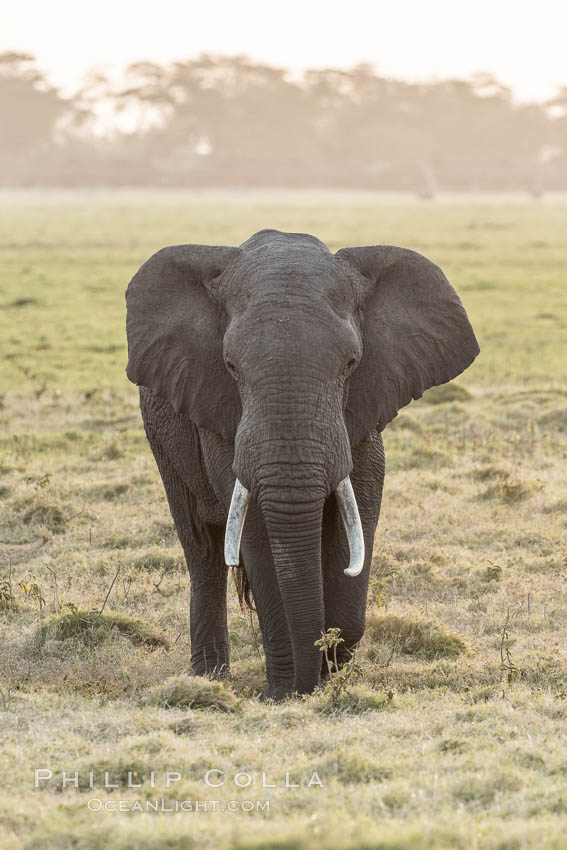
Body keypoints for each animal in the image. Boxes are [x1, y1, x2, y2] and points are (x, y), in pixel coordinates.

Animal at [125, 229, 480, 700]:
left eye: (351, 363)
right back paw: (208, 679)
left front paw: (328, 667)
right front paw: (283, 692)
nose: (305, 685)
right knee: (202, 550)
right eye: (230, 365)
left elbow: (360, 506)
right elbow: (258, 538)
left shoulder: (363, 407)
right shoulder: (219, 415)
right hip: (164, 442)